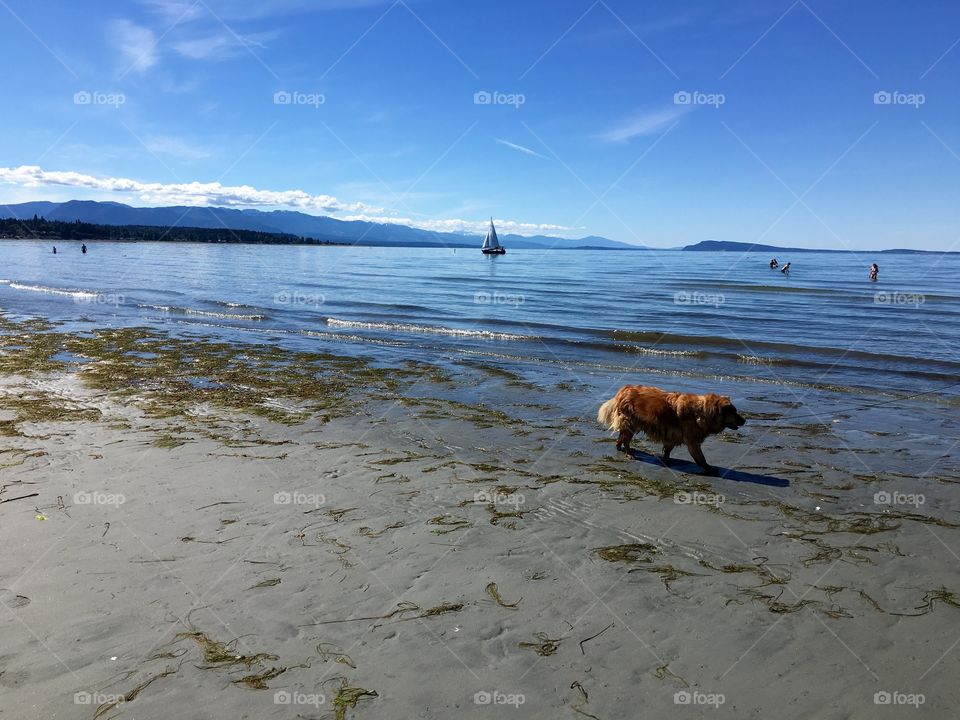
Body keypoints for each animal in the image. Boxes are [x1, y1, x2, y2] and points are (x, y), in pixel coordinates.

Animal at [596, 386, 748, 476]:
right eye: (734, 412)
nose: (745, 420)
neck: (702, 411)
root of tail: (624, 389)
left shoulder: (672, 435)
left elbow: (668, 449)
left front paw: (667, 459)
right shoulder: (692, 442)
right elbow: (701, 459)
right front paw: (709, 469)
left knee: (621, 437)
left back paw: (620, 448)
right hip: (631, 423)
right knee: (626, 439)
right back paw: (628, 453)